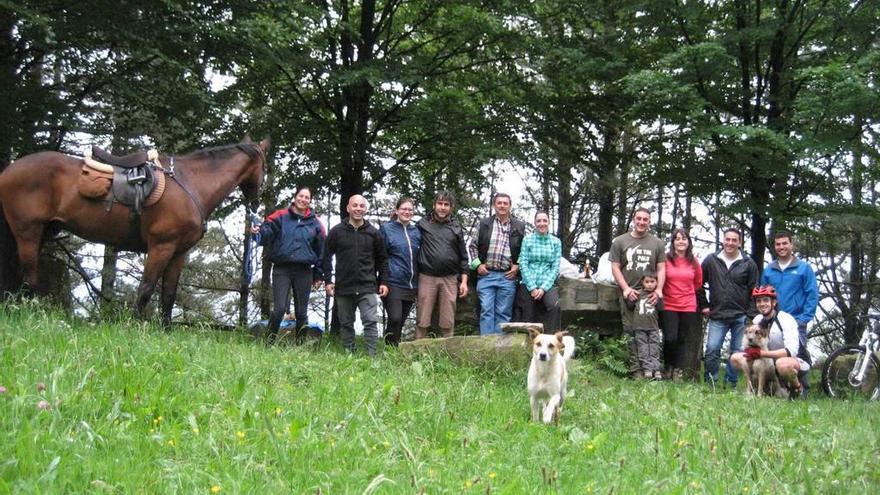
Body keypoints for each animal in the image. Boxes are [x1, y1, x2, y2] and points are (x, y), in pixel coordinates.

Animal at [0, 140, 268, 324]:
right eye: (265, 167)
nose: (256, 203)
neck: (191, 184)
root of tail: (8, 171)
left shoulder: (178, 252)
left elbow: (168, 294)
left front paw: (165, 330)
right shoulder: (162, 246)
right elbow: (146, 288)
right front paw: (136, 325)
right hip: (28, 233)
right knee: (30, 278)